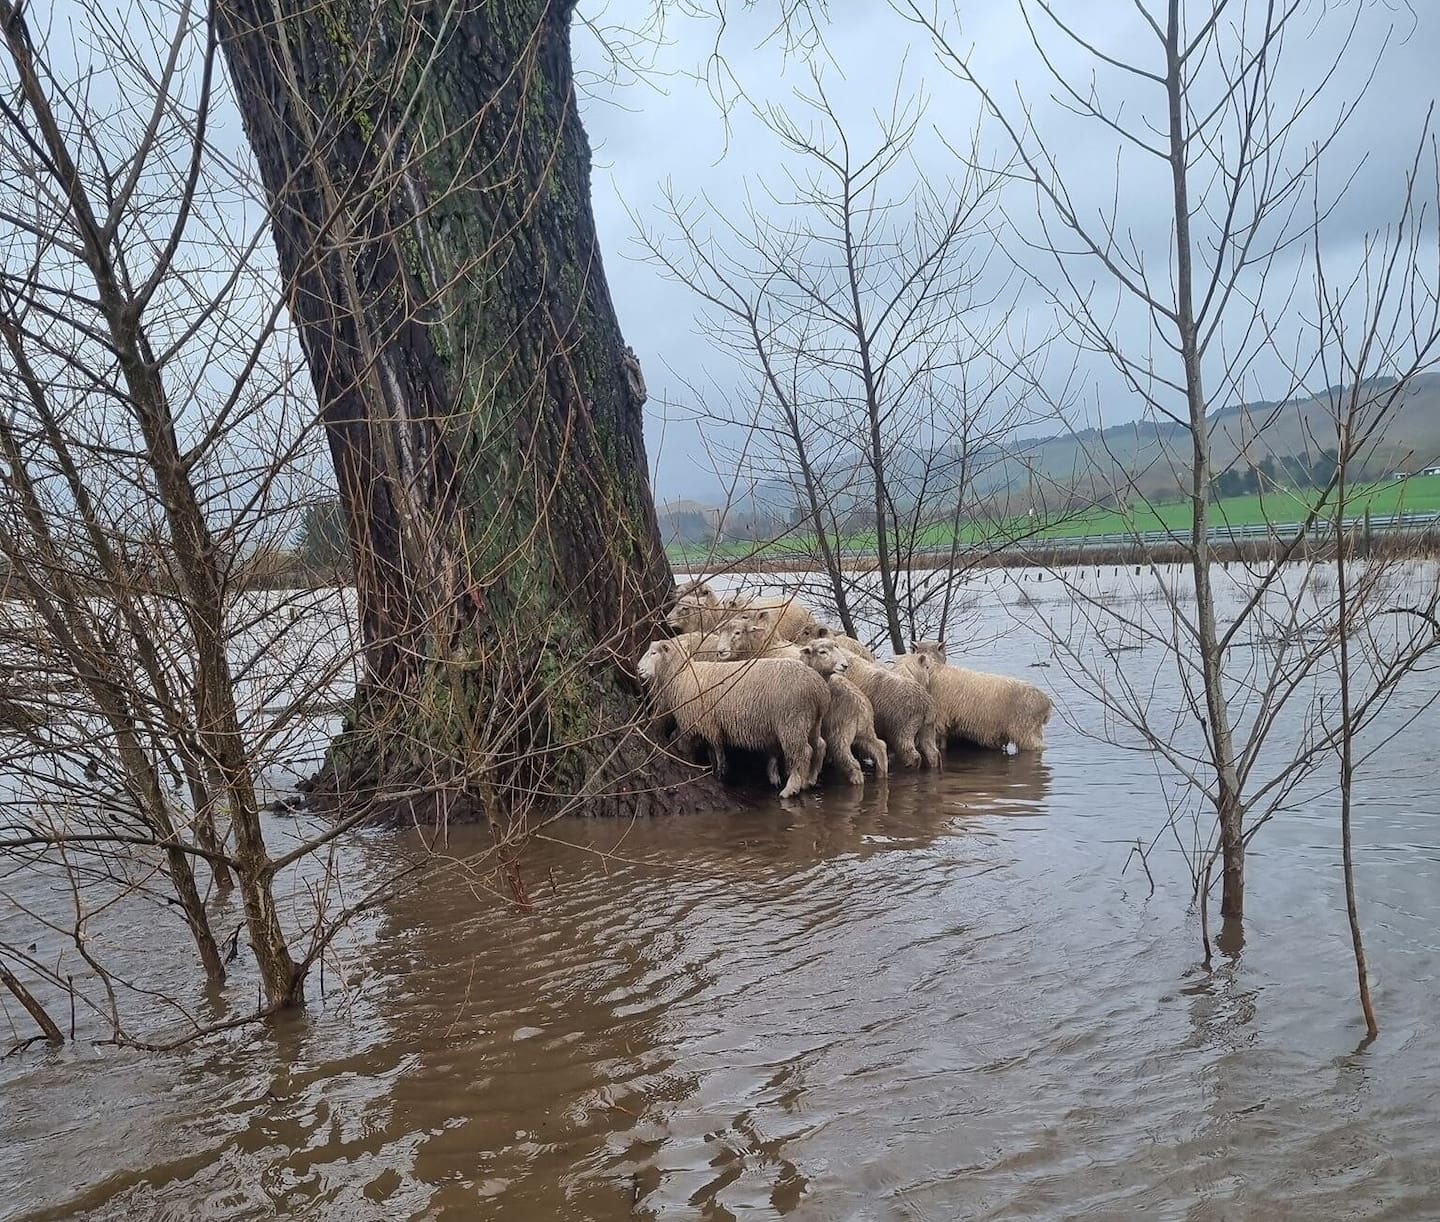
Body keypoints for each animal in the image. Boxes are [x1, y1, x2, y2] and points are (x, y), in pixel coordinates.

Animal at [637, 638, 828, 798]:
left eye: (653, 653)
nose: (638, 669)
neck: (682, 676)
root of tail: (818, 688)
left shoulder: (702, 723)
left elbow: (706, 748)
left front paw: (719, 770)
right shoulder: (710, 725)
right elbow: (711, 749)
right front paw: (716, 770)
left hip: (792, 720)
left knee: (803, 753)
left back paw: (792, 788)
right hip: (811, 721)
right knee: (819, 745)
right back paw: (810, 779)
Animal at [795, 640, 889, 784]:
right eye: (822, 652)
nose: (844, 665)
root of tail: (861, 707)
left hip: (840, 735)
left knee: (852, 763)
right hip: (865, 731)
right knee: (880, 747)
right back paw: (881, 775)